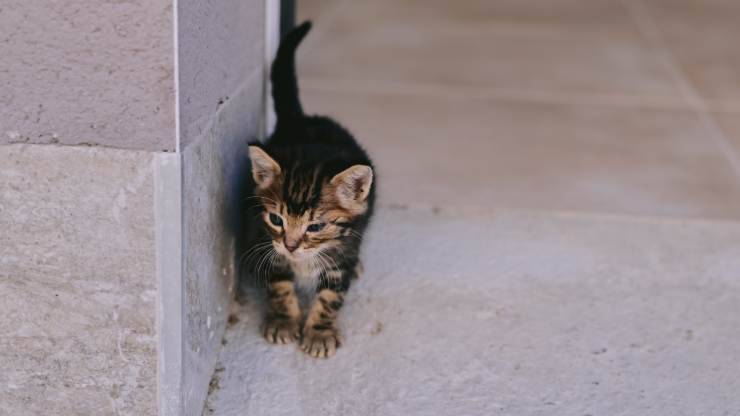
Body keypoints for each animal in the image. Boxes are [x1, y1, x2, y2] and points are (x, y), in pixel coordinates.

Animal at [244, 21, 376, 358]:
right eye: (276, 220)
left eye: (315, 226)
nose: (291, 246)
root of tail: (302, 119)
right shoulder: (268, 244)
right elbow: (279, 286)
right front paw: (283, 322)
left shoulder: (338, 257)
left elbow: (331, 297)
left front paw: (319, 332)